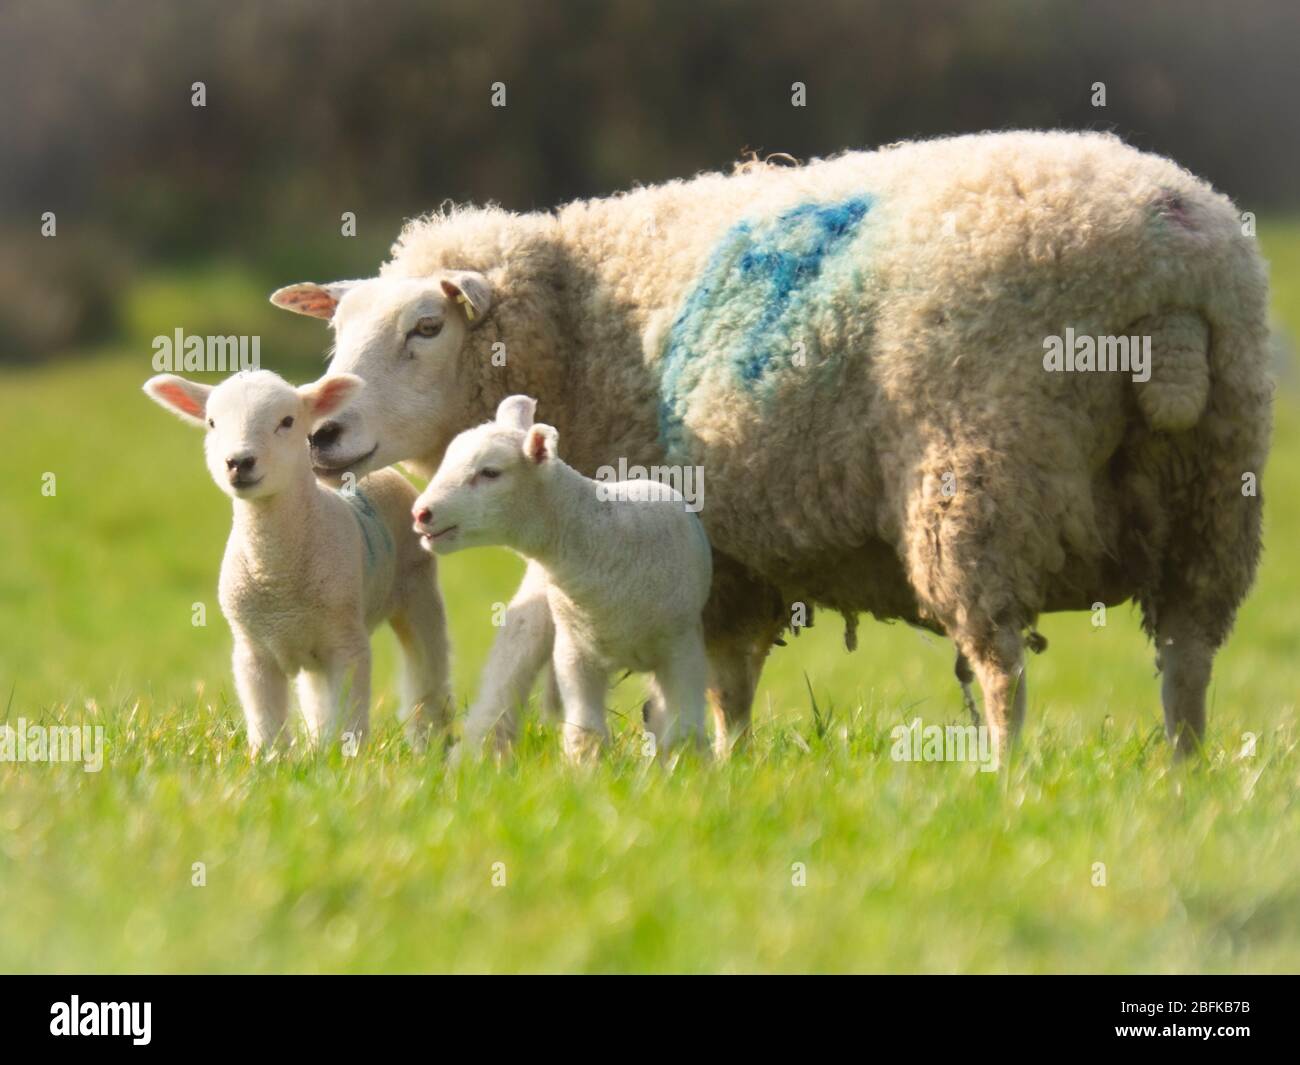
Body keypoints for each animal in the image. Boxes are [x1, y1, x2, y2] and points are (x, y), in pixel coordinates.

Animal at [142, 371, 452, 754]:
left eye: (287, 421)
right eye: (212, 423)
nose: (239, 462)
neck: (278, 578)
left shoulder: (347, 643)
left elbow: (351, 714)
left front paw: (348, 758)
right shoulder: (253, 651)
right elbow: (267, 722)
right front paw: (271, 759)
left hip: (417, 590)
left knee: (427, 671)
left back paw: (433, 744)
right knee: (317, 697)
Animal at [413, 395, 712, 764]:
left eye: (490, 472)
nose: (421, 513)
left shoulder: (682, 647)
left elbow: (684, 728)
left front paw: (685, 767)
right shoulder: (575, 652)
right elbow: (585, 729)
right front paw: (586, 770)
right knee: (504, 681)